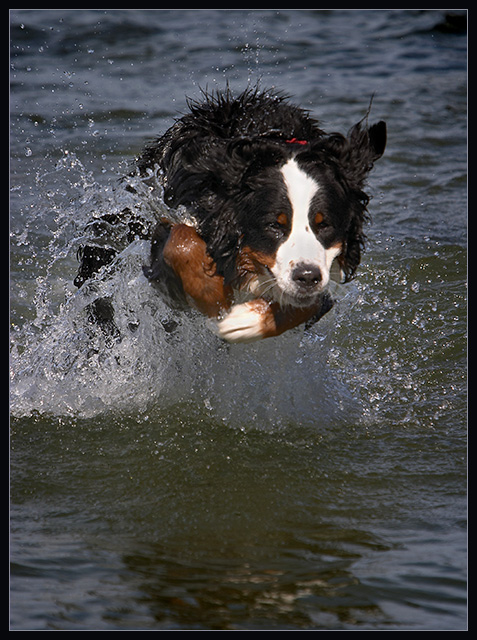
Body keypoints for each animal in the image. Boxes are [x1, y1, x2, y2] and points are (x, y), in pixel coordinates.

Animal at [75, 87, 386, 342]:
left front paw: (247, 320)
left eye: (325, 225)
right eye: (274, 224)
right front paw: (213, 299)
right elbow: (183, 243)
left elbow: (308, 303)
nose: (307, 276)